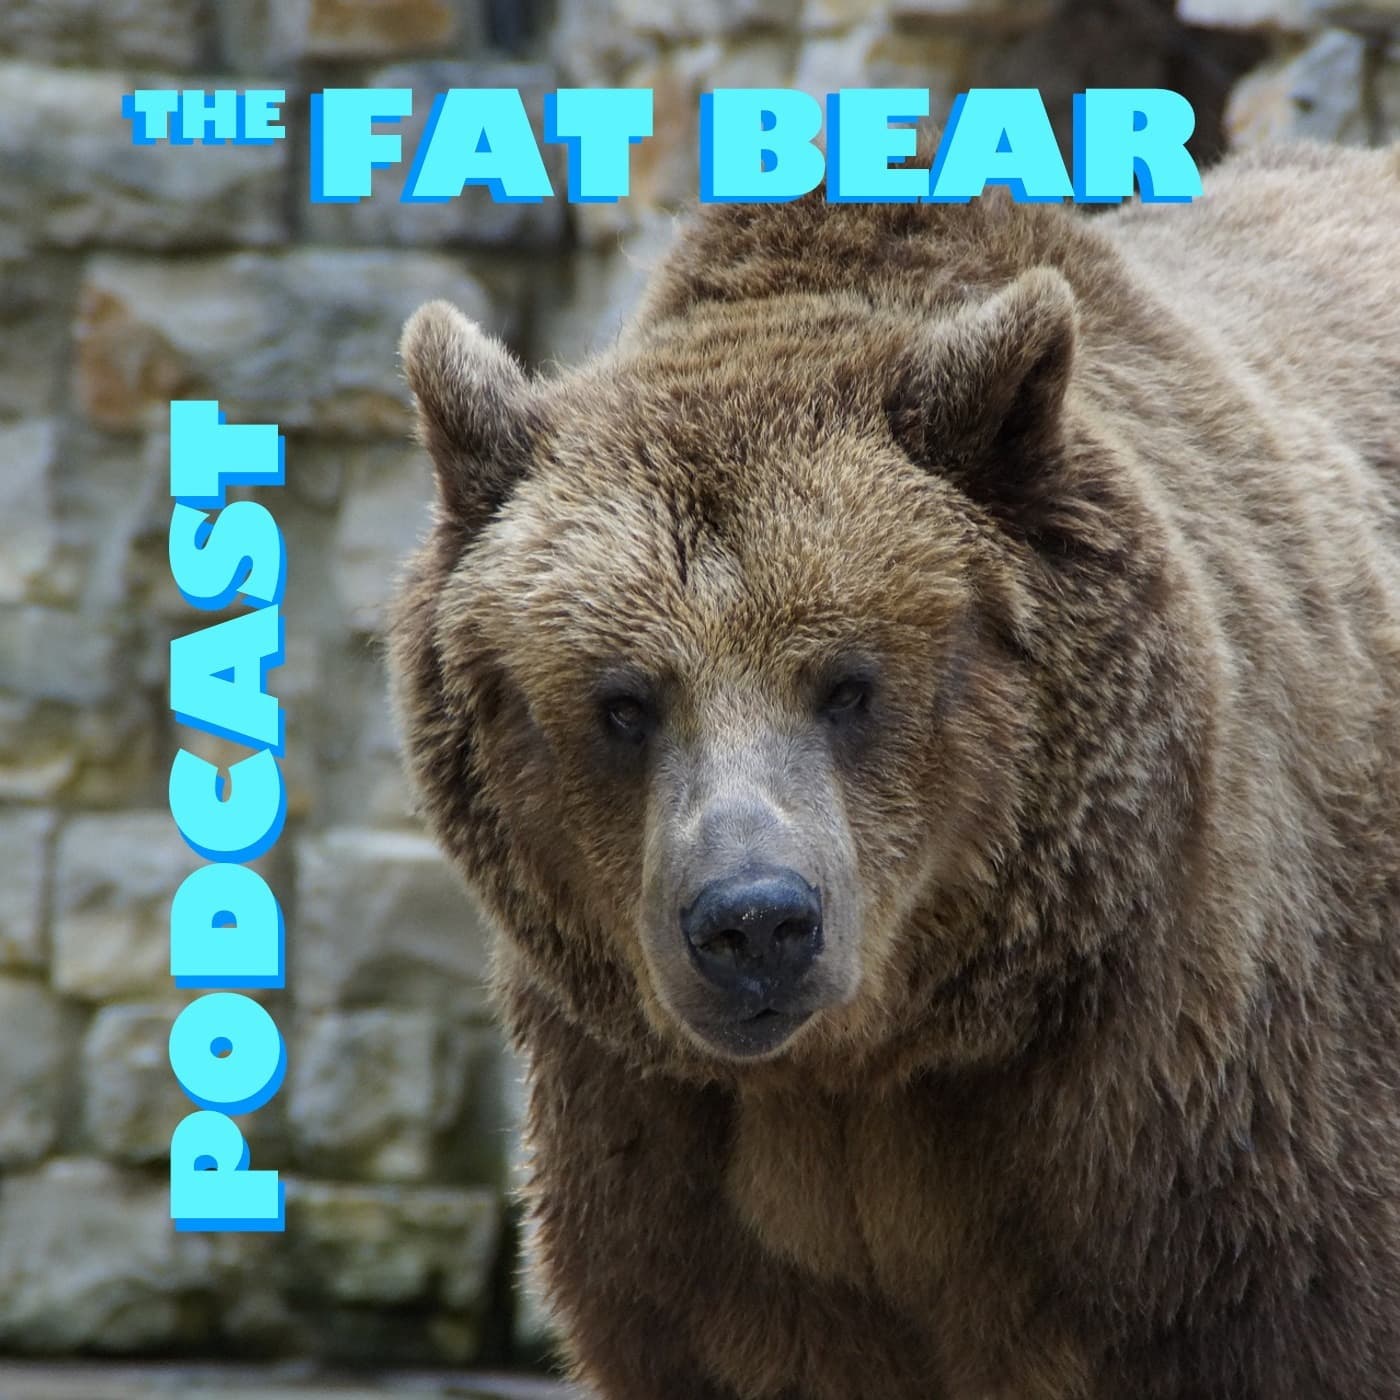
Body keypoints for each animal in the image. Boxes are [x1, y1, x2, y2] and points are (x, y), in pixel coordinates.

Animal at [386, 136, 1400, 1400]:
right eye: (623, 702)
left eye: (847, 683)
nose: (754, 922)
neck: (875, 1067)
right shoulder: (674, 1179)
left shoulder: (1206, 1140)